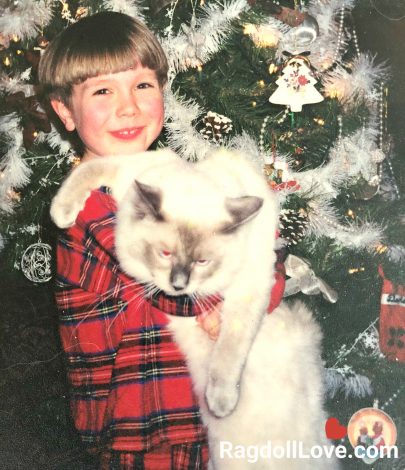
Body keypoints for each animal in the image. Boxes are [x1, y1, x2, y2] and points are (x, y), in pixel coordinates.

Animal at [50, 150, 338, 470]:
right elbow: (85, 171)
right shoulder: (124, 169)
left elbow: (230, 350)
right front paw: (61, 214)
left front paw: (221, 401)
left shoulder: (249, 286)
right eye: (164, 253)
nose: (178, 285)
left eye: (202, 261)